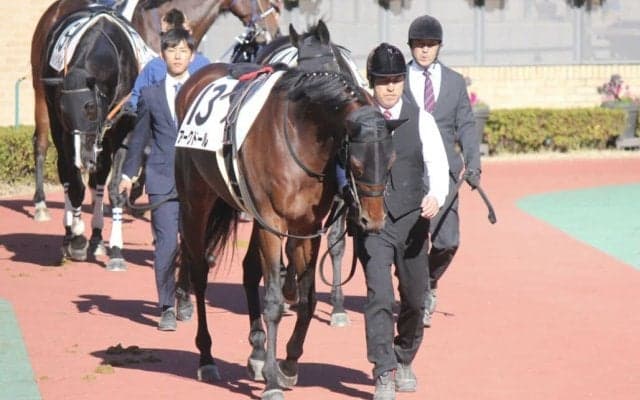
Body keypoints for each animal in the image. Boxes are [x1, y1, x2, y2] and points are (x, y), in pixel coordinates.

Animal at [172, 23, 400, 400]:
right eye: (355, 163)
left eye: (391, 161)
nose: (372, 220)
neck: (301, 137)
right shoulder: (272, 223)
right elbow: (275, 302)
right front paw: (271, 382)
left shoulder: (307, 224)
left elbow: (306, 298)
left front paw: (288, 365)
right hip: (196, 202)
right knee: (200, 271)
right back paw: (206, 356)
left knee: (249, 269)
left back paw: (257, 351)